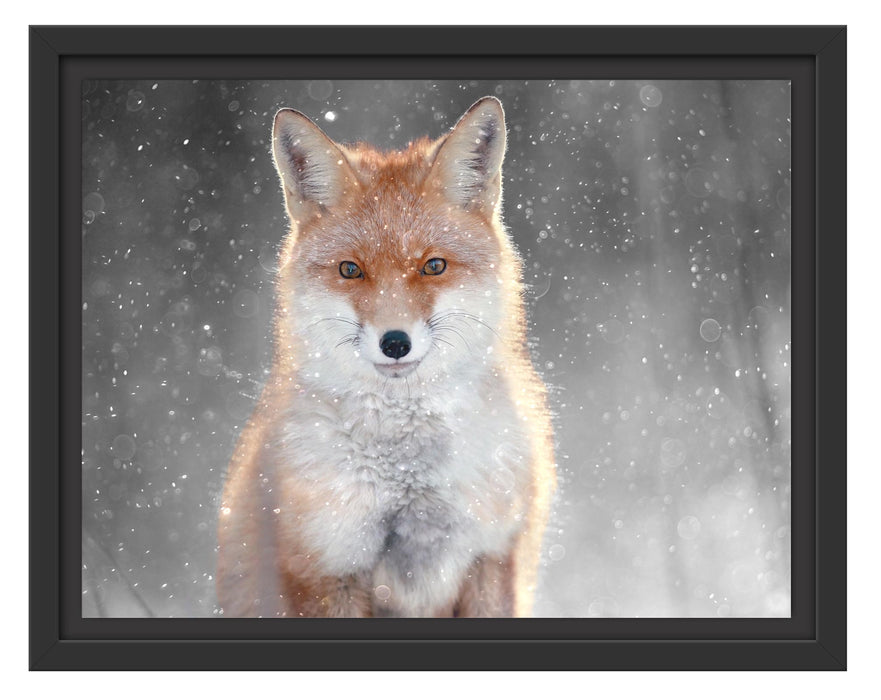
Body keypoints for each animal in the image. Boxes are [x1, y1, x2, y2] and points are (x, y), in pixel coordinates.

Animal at [216, 97, 556, 617]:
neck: (407, 476)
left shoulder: (493, 555)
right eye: (350, 270)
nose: (395, 342)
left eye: (433, 265)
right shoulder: (326, 566)